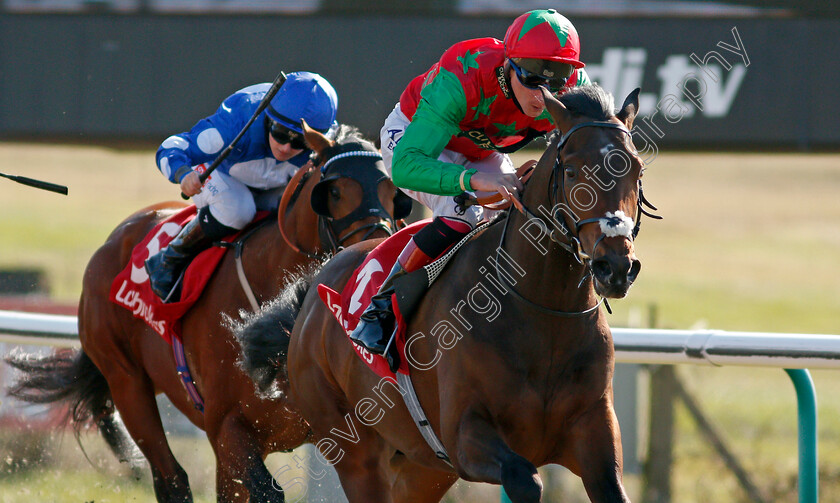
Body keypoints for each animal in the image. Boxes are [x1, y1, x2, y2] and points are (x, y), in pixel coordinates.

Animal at [5, 124, 414, 502]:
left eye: (395, 196)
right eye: (334, 192)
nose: (373, 252)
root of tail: (113, 240)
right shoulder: (227, 427)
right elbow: (266, 491)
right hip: (126, 382)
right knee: (171, 479)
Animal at [236, 87, 648, 503]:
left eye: (636, 170)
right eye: (573, 171)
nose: (615, 266)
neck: (545, 315)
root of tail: (311, 295)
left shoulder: (595, 435)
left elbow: (610, 488)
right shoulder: (464, 437)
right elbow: (525, 479)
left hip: (422, 468)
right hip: (355, 452)